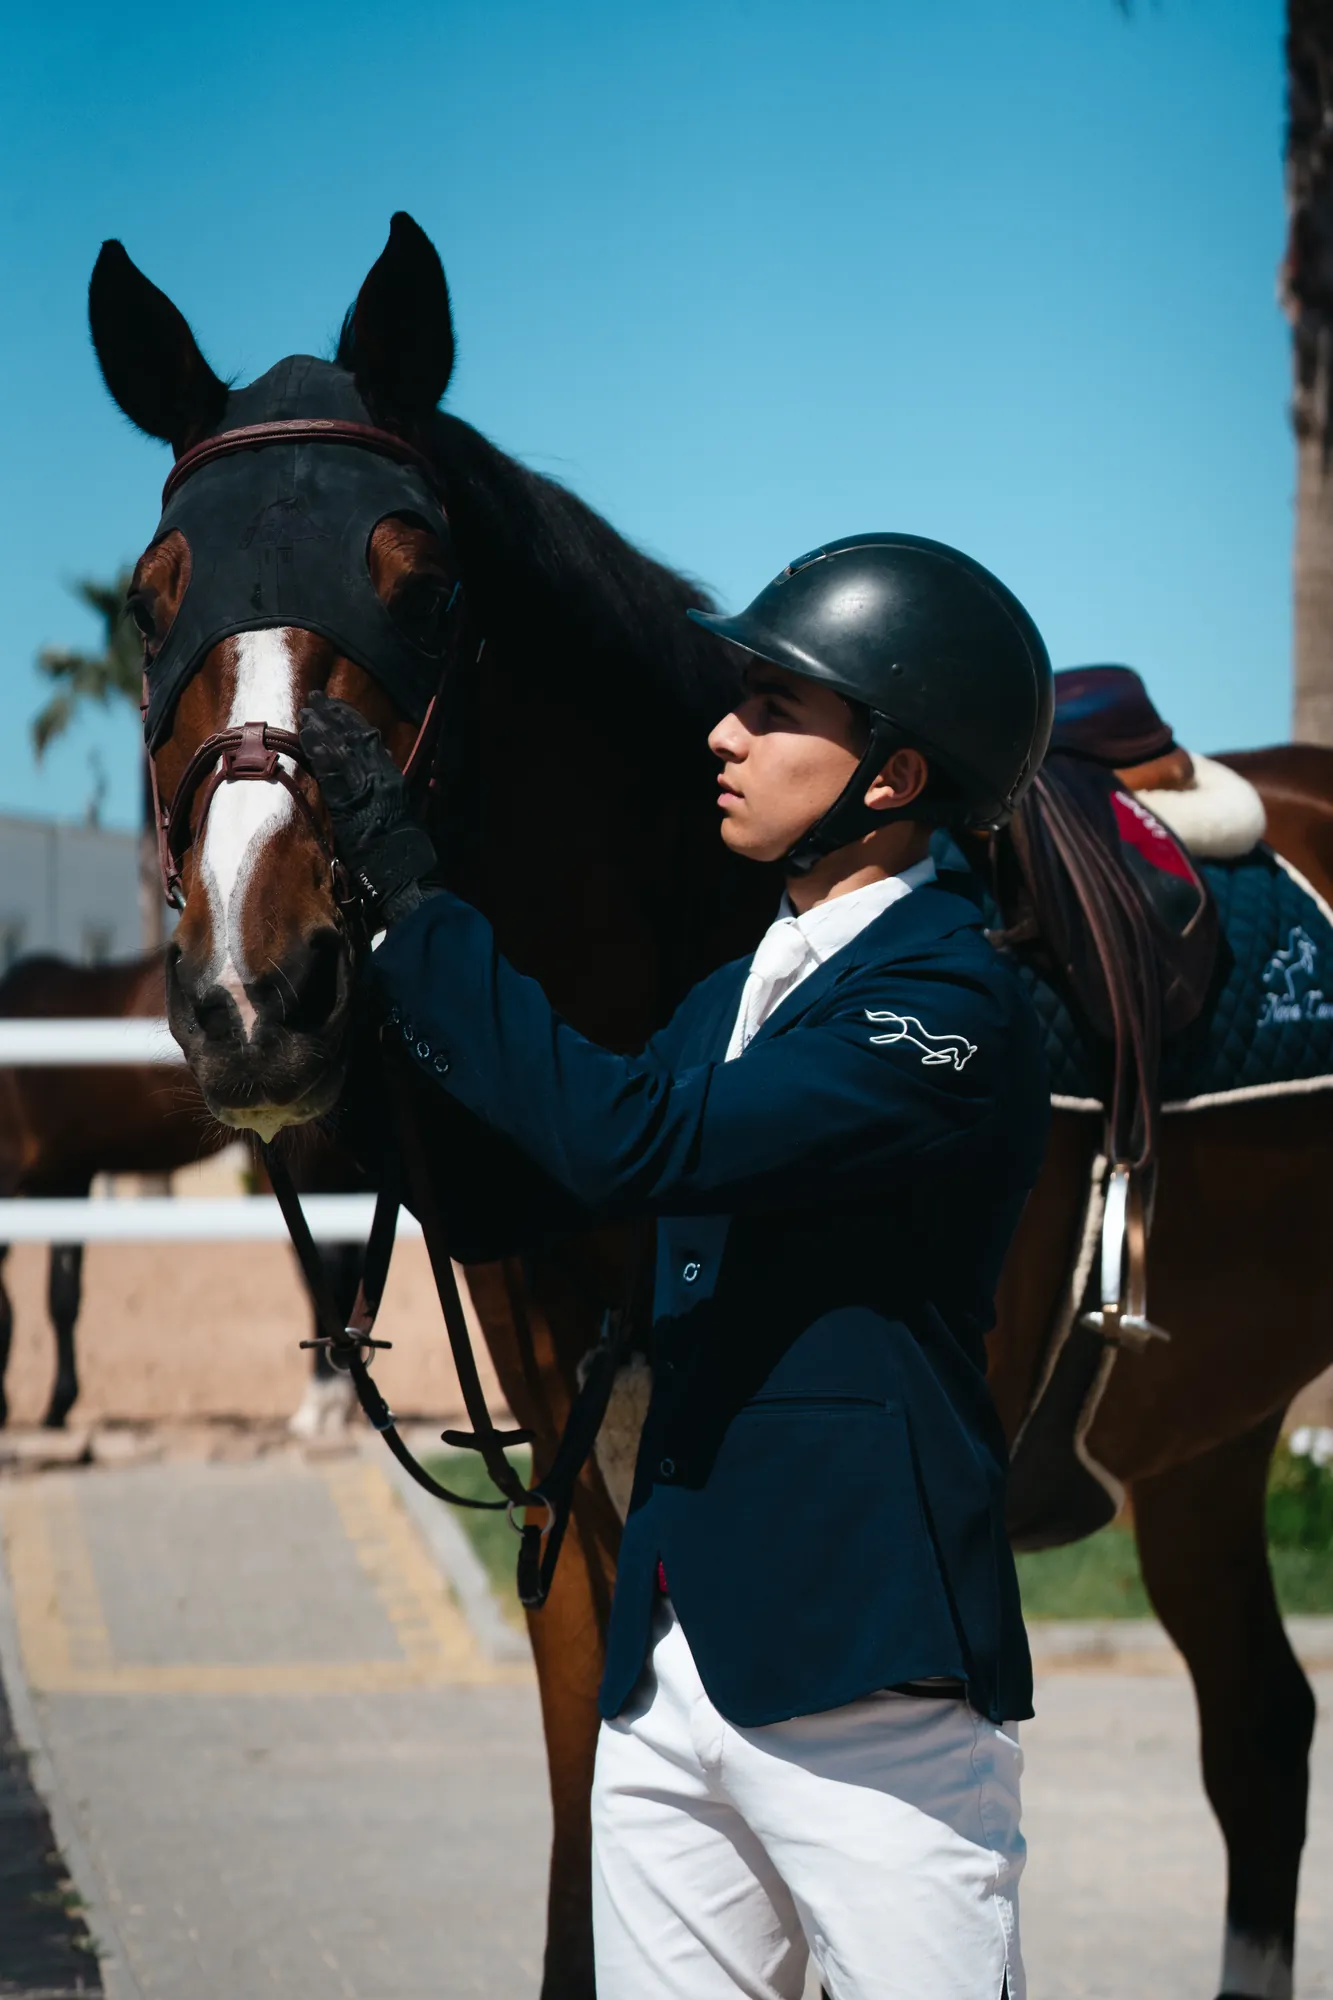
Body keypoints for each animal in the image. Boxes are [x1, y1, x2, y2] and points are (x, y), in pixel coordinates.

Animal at [86, 212, 1330, 2000]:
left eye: (423, 582)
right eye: (149, 598)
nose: (260, 990)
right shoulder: (582, 1527)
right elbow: (580, 1876)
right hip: (1204, 1444)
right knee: (1260, 1730)